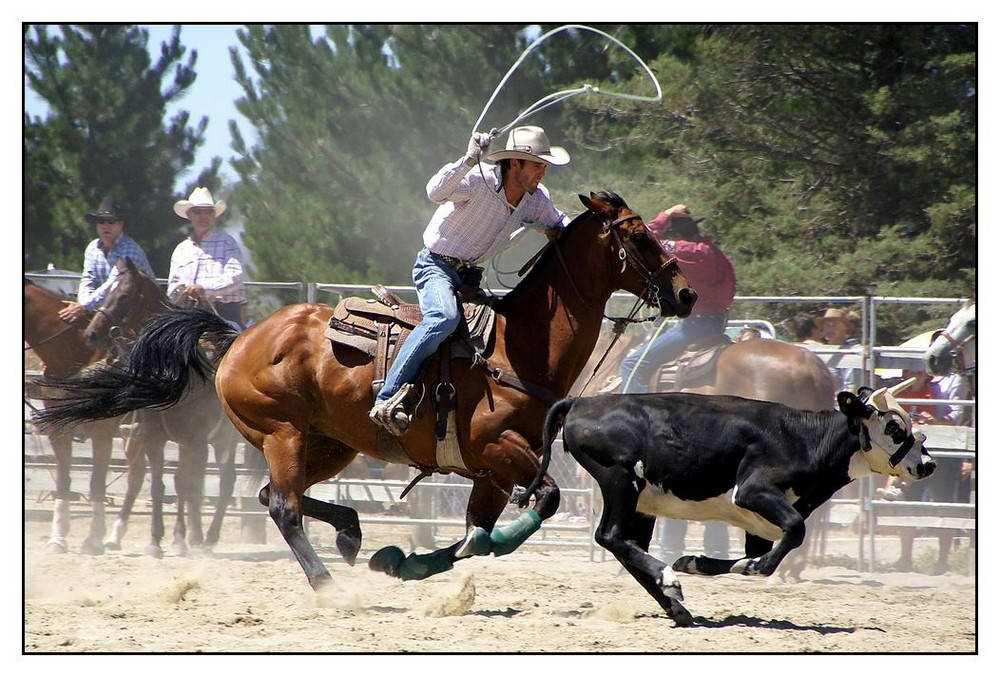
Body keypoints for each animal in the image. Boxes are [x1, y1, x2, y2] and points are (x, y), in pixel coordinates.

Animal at [22, 278, 121, 552]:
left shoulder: (103, 433)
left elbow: (97, 481)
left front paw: (94, 538)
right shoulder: (58, 431)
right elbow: (63, 481)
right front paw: (58, 538)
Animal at [33, 190, 696, 592]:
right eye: (640, 238)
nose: (687, 294)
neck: (516, 344)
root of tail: (240, 335)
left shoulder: (491, 468)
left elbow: (478, 536)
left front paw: (407, 561)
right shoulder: (497, 450)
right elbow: (543, 502)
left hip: (330, 444)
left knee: (276, 494)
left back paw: (352, 535)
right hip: (281, 432)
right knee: (281, 503)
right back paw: (328, 583)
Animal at [532, 382, 936, 624]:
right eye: (895, 428)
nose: (928, 464)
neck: (802, 439)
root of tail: (583, 402)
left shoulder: (758, 524)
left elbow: (751, 551)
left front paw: (693, 561)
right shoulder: (753, 492)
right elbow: (794, 532)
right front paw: (751, 567)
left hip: (642, 504)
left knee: (627, 546)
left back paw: (677, 605)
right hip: (619, 480)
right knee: (610, 536)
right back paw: (669, 582)